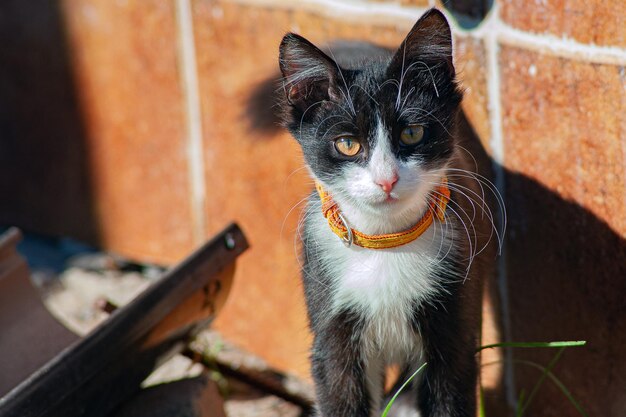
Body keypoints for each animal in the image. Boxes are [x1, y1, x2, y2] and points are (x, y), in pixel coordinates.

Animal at [276, 7, 500, 416]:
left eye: (412, 133)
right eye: (347, 144)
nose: (386, 180)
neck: (387, 241)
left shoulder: (454, 317)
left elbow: (451, 389)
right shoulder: (332, 324)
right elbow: (339, 391)